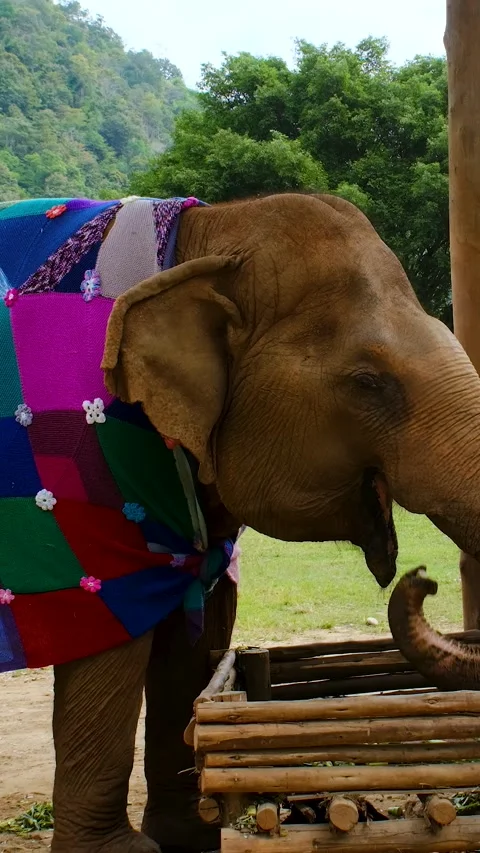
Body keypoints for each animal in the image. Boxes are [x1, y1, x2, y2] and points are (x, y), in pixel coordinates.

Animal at [2, 190, 480, 853]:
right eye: (368, 382)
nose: (424, 578)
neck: (211, 236)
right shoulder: (89, 470)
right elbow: (112, 635)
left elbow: (196, 630)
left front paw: (191, 837)